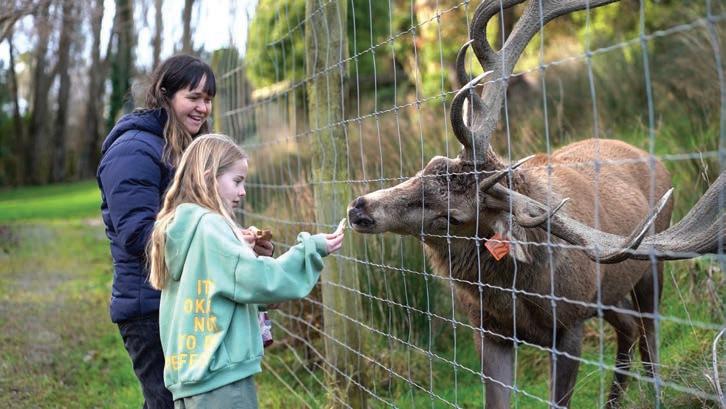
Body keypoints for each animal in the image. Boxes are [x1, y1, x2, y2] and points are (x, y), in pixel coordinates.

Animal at [346, 0, 726, 407]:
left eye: (453, 217)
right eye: (429, 165)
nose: (360, 208)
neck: (519, 298)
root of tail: (655, 158)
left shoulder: (570, 324)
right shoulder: (487, 330)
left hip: (649, 268)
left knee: (649, 336)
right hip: (608, 294)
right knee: (628, 326)